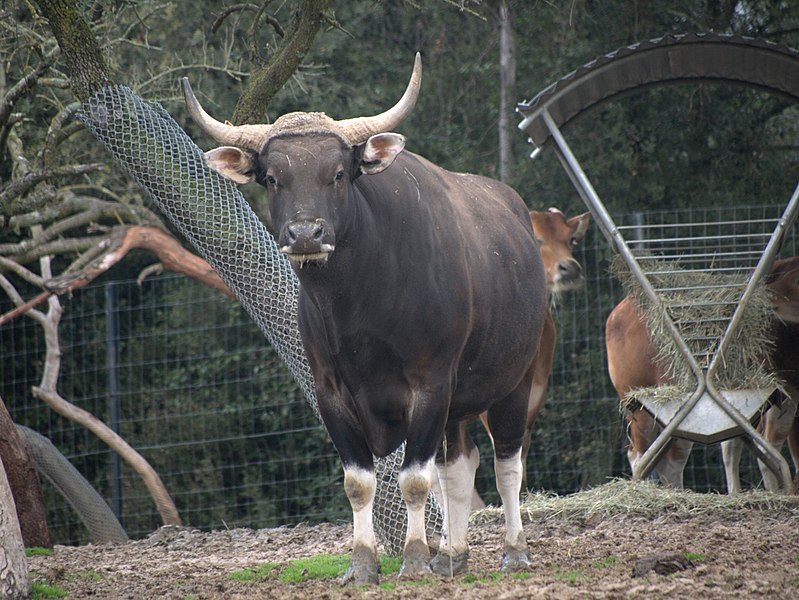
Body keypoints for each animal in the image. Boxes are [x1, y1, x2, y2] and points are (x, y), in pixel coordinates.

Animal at [185, 55, 552, 580]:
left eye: (339, 173)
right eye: (272, 177)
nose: (305, 233)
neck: (359, 310)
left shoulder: (429, 384)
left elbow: (415, 479)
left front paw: (414, 559)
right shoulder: (331, 392)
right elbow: (360, 483)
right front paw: (363, 563)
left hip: (515, 380)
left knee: (507, 465)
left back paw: (513, 549)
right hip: (459, 400)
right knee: (461, 467)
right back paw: (453, 555)